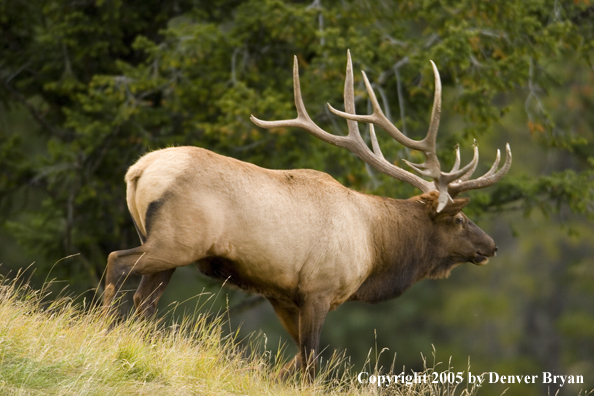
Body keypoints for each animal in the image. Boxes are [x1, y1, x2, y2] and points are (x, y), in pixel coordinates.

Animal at [102, 51, 508, 380]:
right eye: (460, 220)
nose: (491, 246)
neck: (375, 248)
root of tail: (138, 171)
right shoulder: (320, 288)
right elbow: (312, 360)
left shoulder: (283, 295)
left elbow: (297, 357)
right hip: (177, 241)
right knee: (116, 261)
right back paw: (103, 330)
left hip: (164, 246)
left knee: (145, 300)